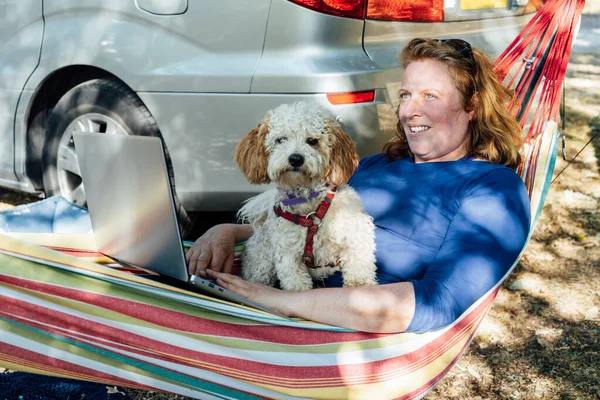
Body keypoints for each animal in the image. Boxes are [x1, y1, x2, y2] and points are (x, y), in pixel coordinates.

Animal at [234, 101, 376, 290]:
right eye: (281, 140)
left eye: (312, 141)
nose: (295, 158)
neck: (310, 205)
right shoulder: (288, 255)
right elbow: (296, 284)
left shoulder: (356, 230)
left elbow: (359, 261)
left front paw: (360, 285)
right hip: (261, 262)